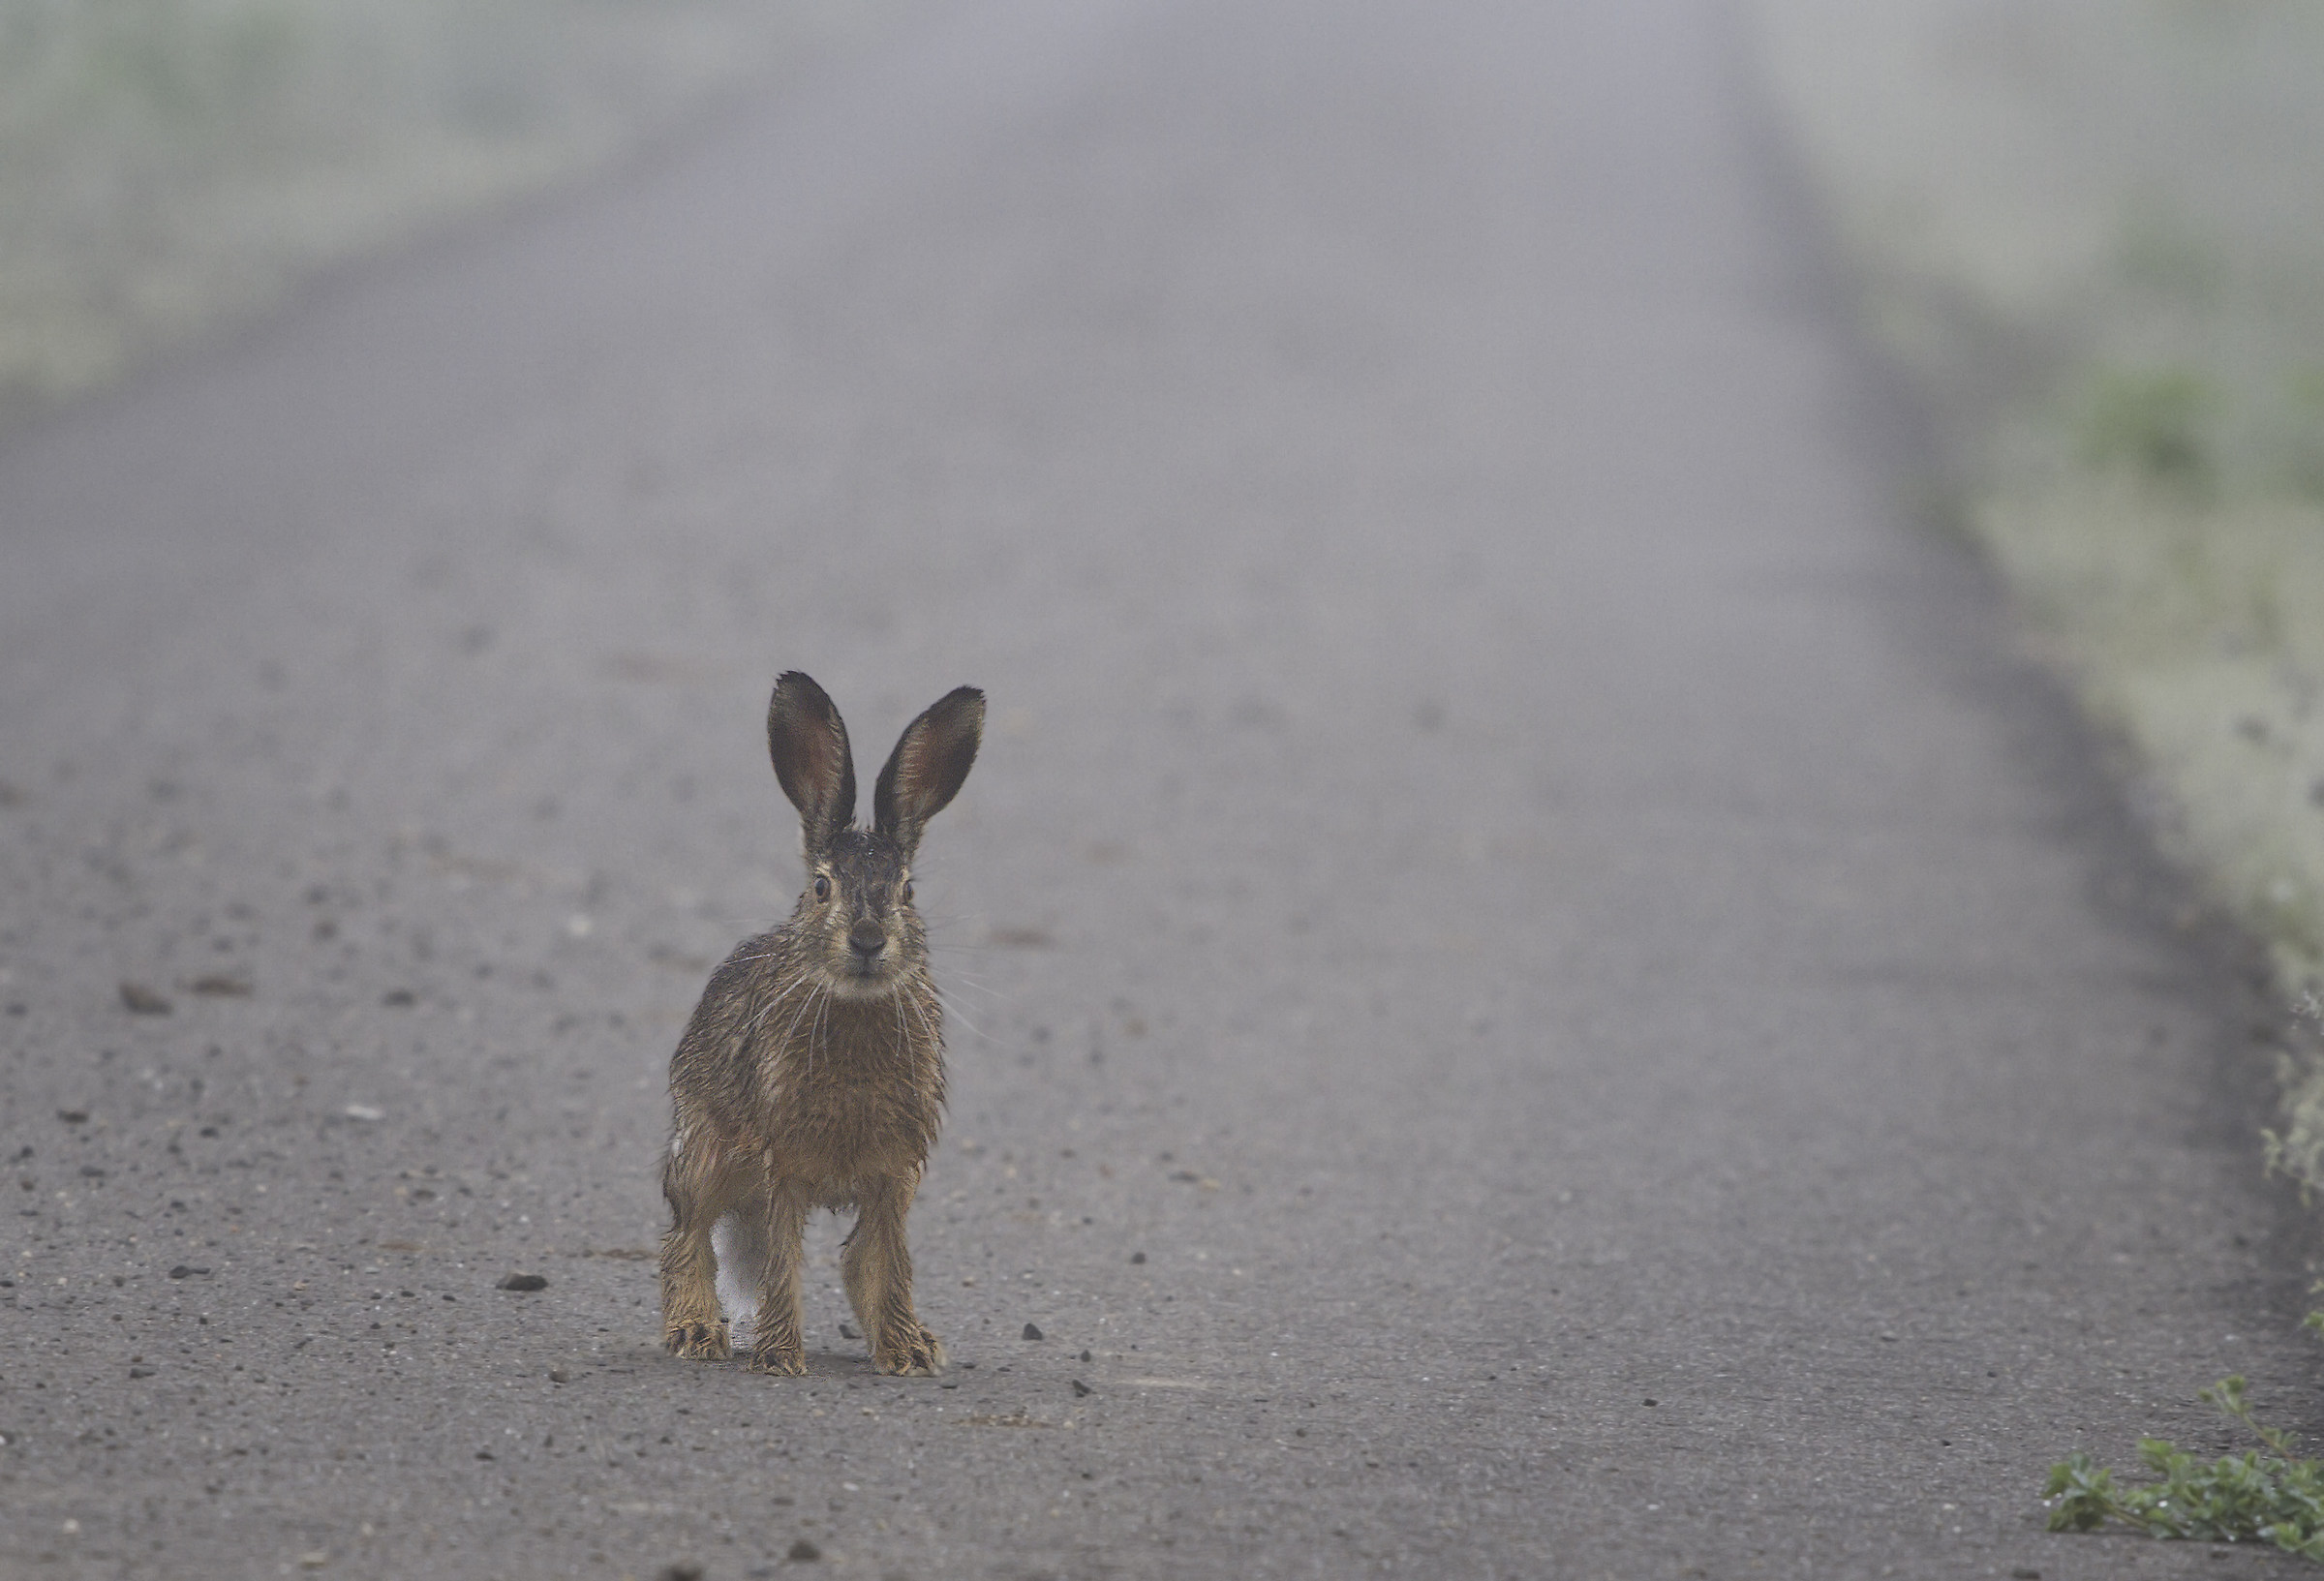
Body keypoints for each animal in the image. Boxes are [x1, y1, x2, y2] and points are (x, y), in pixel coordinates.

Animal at [659, 671, 983, 1376]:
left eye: (907, 891)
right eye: (821, 886)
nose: (866, 941)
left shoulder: (895, 1171)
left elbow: (886, 1262)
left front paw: (906, 1352)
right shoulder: (782, 1163)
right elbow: (783, 1262)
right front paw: (780, 1356)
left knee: (857, 1258)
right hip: (703, 1151)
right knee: (687, 1233)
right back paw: (695, 1331)